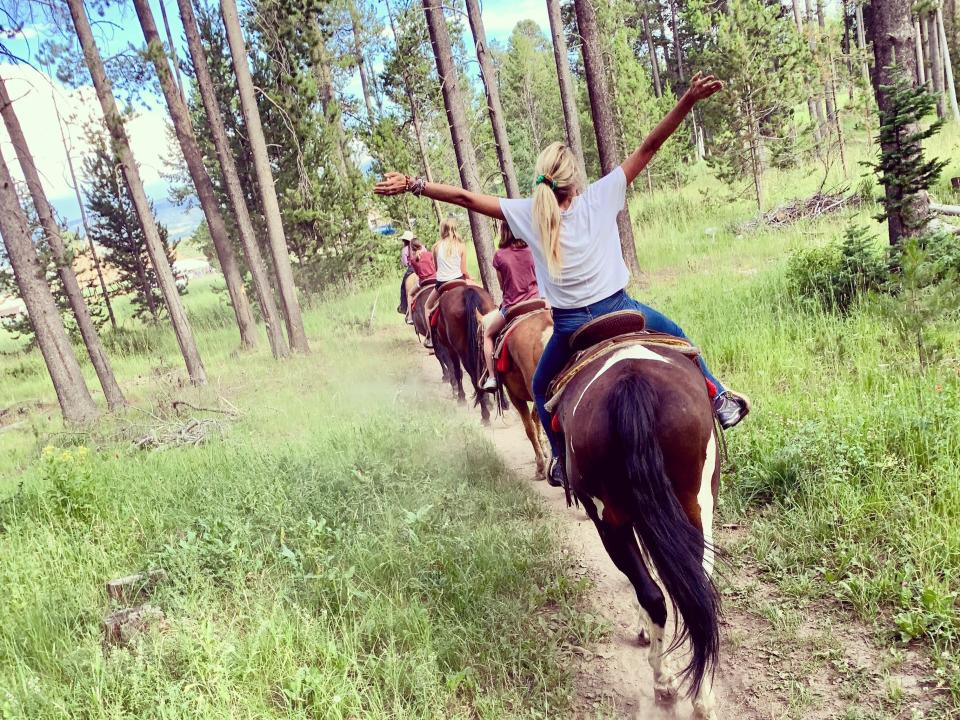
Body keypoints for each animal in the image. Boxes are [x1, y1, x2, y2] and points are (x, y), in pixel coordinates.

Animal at [478, 308, 552, 478]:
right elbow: (535, 419)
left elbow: (529, 428)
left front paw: (540, 465)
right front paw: (544, 453)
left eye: (480, 341)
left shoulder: (514, 396)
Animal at [548, 346, 720, 716]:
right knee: (686, 594)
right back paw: (680, 688)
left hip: (615, 520)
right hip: (691, 507)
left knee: (662, 593)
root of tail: (632, 384)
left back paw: (672, 683)